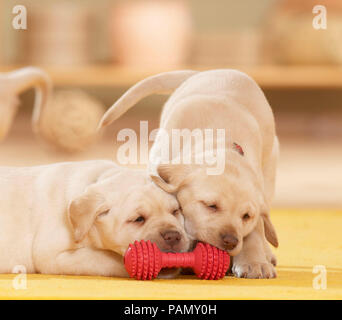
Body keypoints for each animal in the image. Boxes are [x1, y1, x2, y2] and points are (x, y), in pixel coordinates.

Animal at [98, 69, 278, 278]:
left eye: (246, 216)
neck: (219, 141)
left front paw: (254, 261)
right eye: (211, 206)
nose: (231, 241)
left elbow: (255, 230)